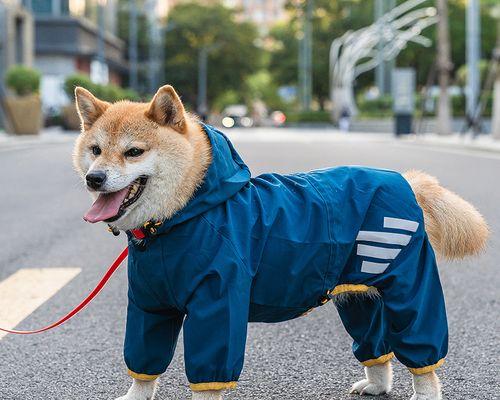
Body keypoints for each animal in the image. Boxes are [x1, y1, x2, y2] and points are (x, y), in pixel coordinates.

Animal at [73, 85, 488, 400]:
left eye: (134, 152)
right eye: (95, 150)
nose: (94, 178)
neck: (178, 219)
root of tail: (403, 181)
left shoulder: (216, 305)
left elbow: (208, 374)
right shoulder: (150, 306)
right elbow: (144, 366)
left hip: (410, 292)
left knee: (422, 353)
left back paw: (424, 389)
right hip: (359, 296)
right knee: (376, 346)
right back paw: (376, 385)